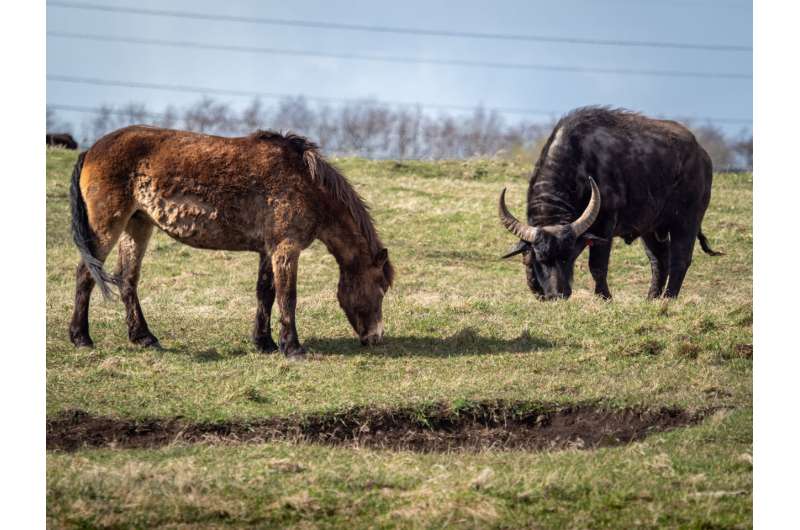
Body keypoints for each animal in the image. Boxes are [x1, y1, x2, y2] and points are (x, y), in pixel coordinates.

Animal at [69, 125, 394, 354]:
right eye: (380, 289)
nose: (376, 337)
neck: (307, 185)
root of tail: (91, 150)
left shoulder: (269, 250)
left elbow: (266, 293)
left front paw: (264, 343)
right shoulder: (286, 249)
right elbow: (288, 296)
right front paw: (292, 347)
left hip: (137, 225)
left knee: (128, 280)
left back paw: (143, 337)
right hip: (108, 226)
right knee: (86, 274)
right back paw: (81, 337)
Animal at [500, 106, 720, 302]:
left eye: (567, 256)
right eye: (541, 257)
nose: (557, 295)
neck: (580, 162)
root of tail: (702, 155)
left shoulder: (605, 226)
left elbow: (597, 266)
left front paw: (604, 297)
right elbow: (527, 261)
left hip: (686, 220)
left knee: (680, 259)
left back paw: (669, 298)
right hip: (650, 228)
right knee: (659, 260)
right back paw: (651, 298)